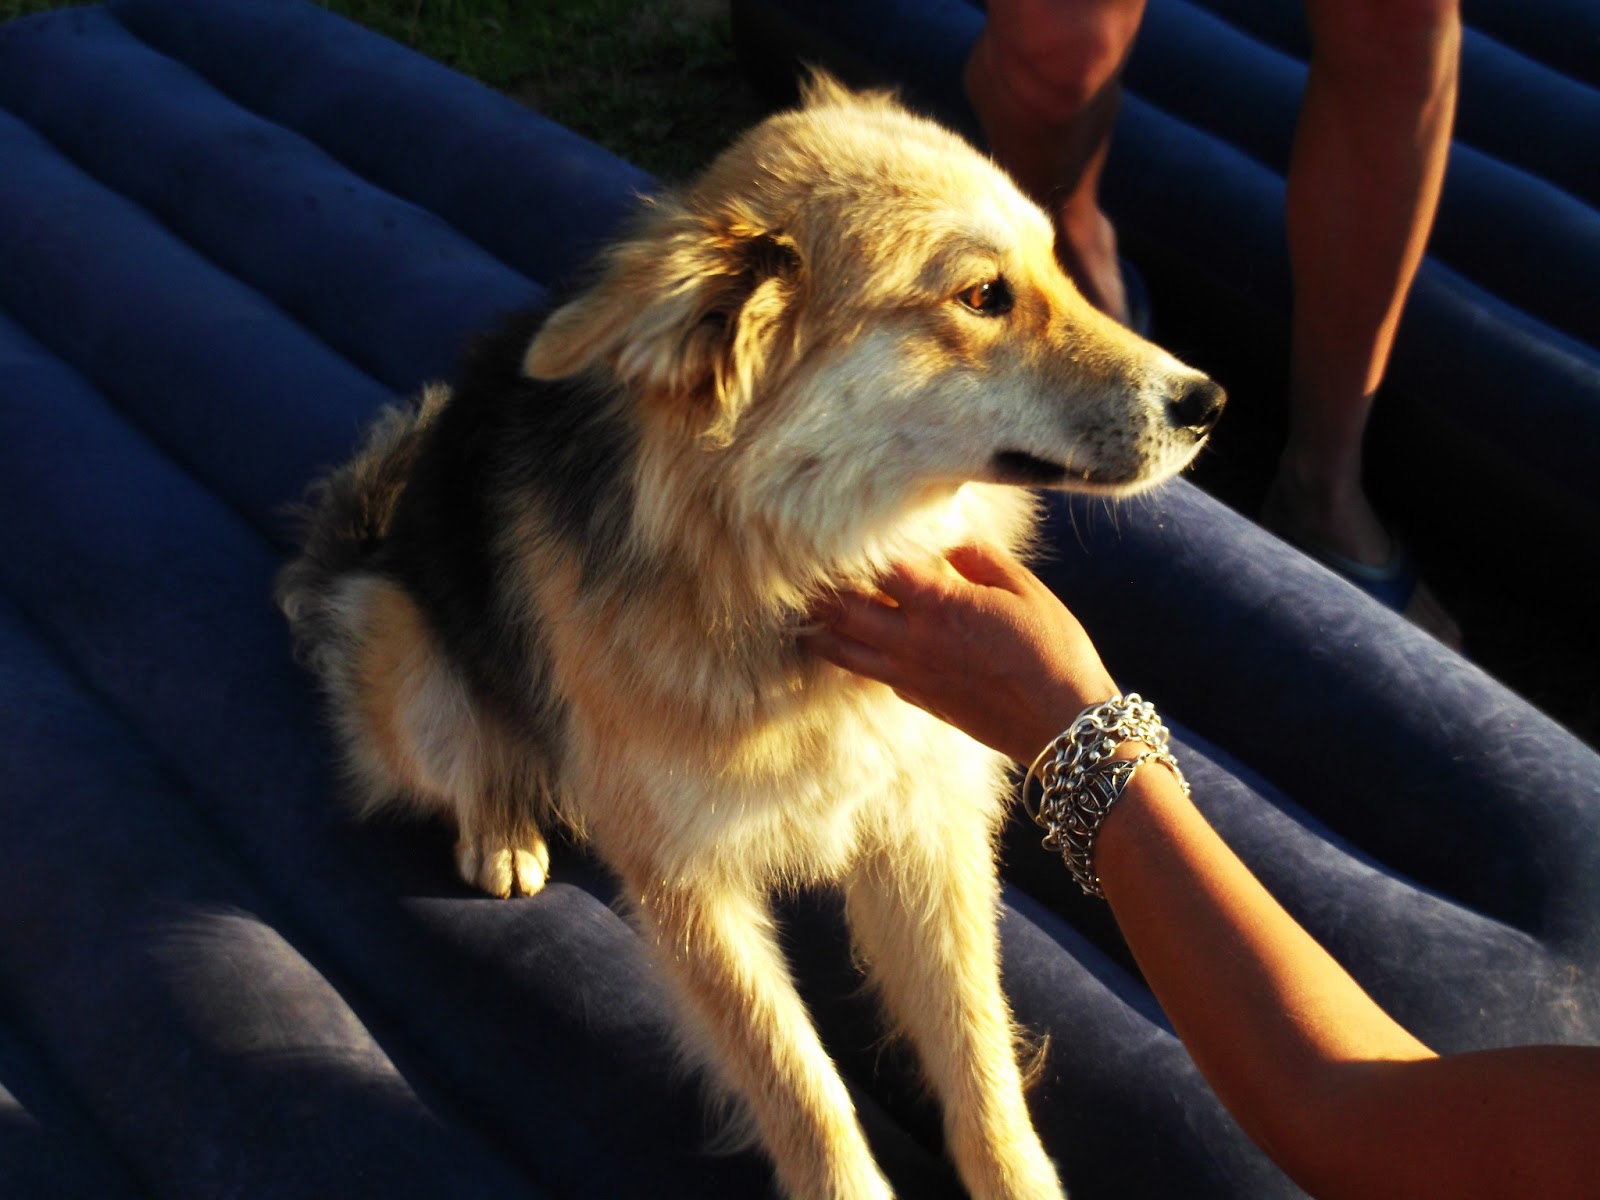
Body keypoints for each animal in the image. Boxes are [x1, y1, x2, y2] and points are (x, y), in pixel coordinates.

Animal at [276, 74, 1222, 1200]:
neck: (787, 561)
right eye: (982, 296)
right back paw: (501, 819)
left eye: (1055, 266)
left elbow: (977, 1057)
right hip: (403, 649)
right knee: (463, 749)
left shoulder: (924, 821)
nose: (1210, 402)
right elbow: (799, 1087)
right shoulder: (687, 873)